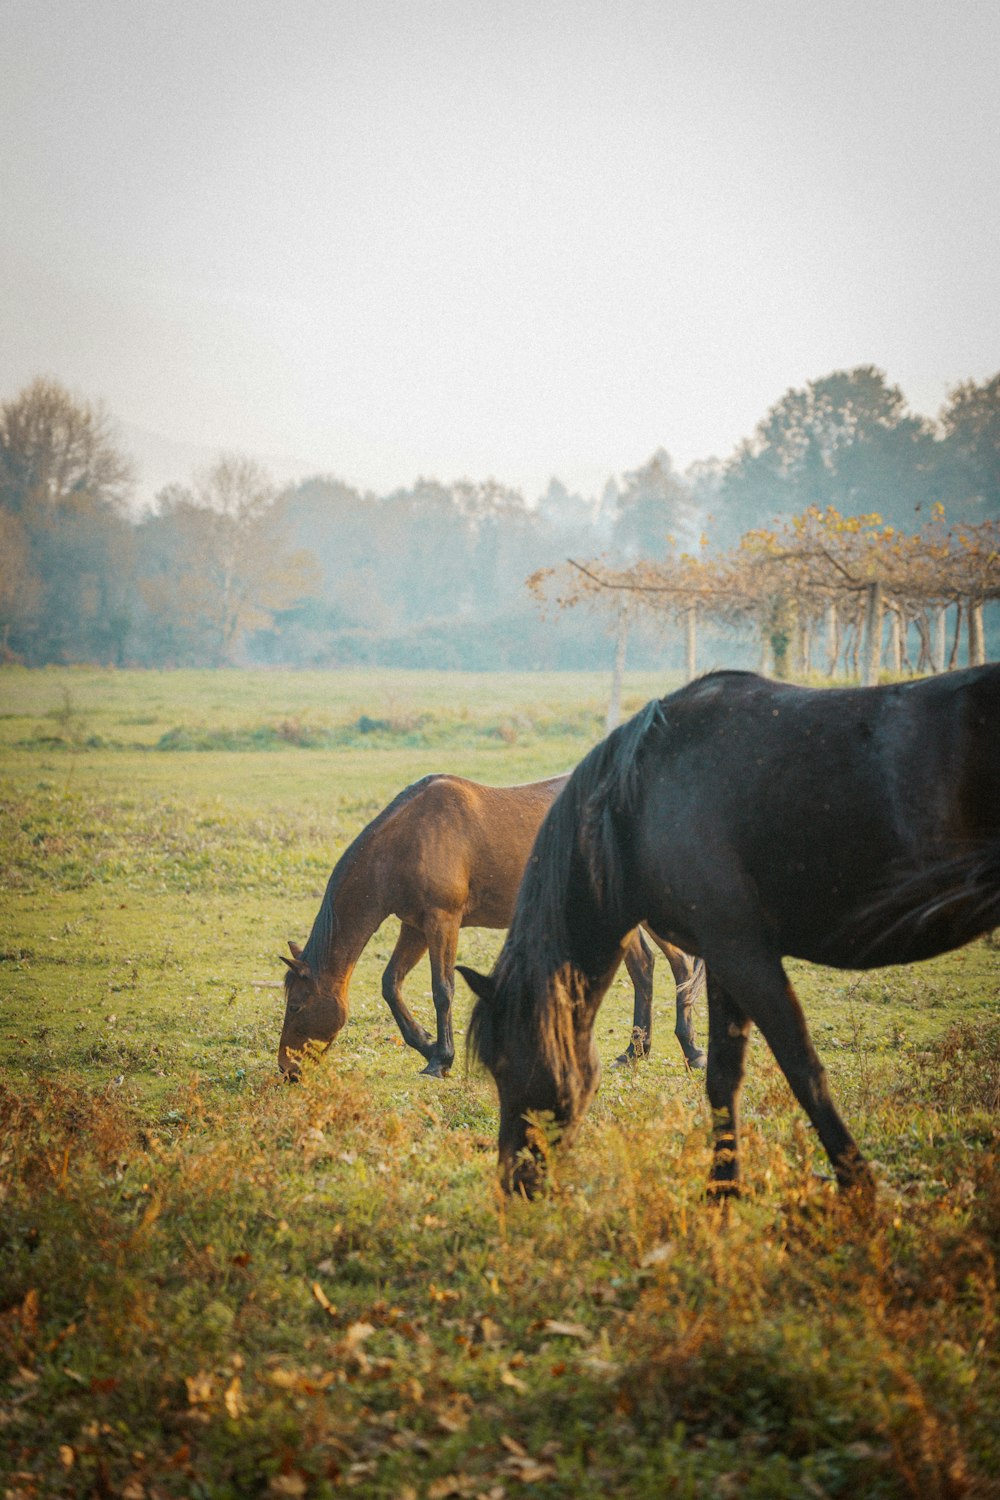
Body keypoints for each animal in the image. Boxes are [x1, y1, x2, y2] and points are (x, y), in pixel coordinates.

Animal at [277, 774, 707, 1080]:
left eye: (296, 1006)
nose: (286, 1069)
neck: (407, 840)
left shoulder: (442, 921)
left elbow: (442, 990)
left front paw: (440, 1060)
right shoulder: (415, 927)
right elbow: (391, 984)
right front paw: (426, 1044)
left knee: (669, 966)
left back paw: (678, 1049)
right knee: (656, 967)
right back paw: (644, 1052)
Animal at [458, 669, 1000, 1206]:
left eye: (504, 1064)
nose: (513, 1184)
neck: (644, 795)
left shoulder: (745, 955)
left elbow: (803, 1069)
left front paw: (859, 1187)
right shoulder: (722, 958)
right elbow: (722, 1078)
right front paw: (722, 1191)